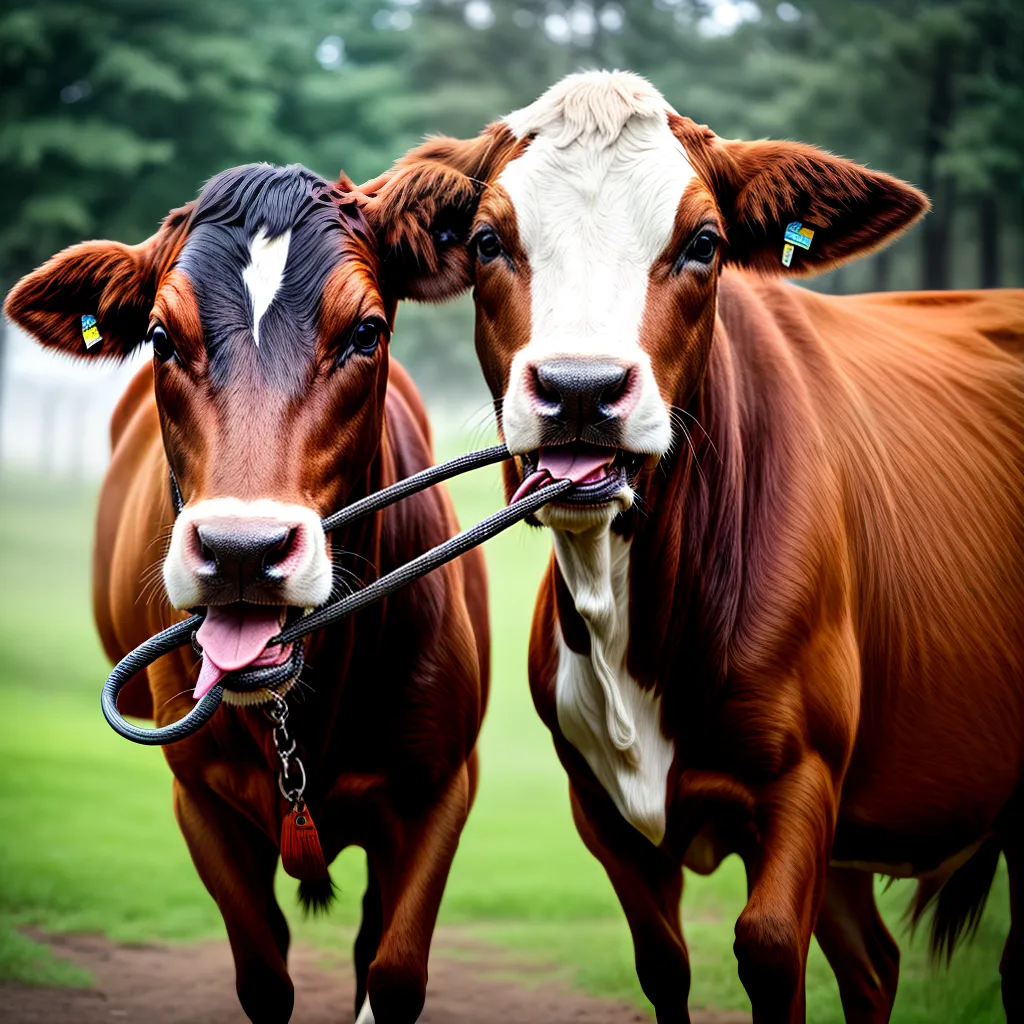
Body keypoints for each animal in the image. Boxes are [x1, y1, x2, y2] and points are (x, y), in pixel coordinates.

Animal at [4, 163, 490, 1024]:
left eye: (366, 332)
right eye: (161, 339)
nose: (241, 550)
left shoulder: (440, 787)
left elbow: (393, 973)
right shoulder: (199, 800)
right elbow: (263, 977)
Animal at [361, 71, 1024, 1022]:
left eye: (704, 243)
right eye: (487, 239)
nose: (581, 389)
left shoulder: (801, 783)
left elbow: (770, 951)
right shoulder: (603, 811)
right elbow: (664, 966)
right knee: (872, 963)